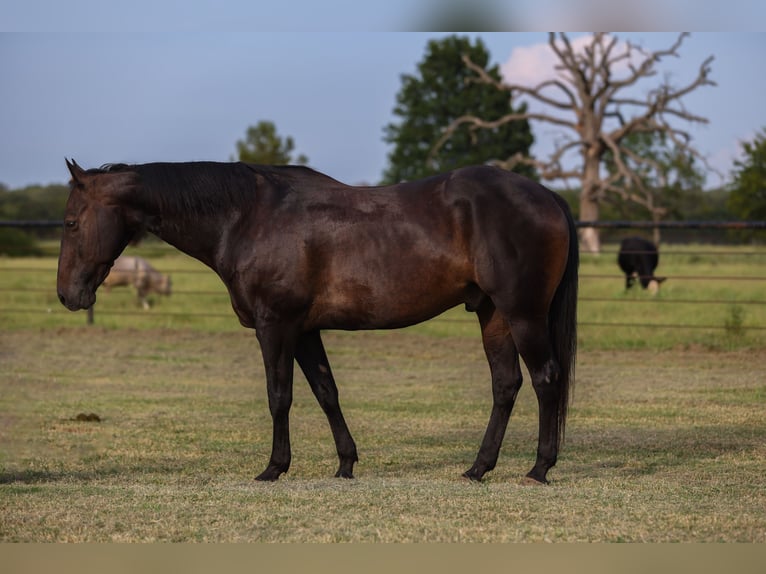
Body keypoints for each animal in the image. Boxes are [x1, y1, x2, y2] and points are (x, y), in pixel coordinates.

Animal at [57, 159, 578, 485]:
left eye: (71, 223)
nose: (67, 295)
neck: (246, 217)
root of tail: (547, 194)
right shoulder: (305, 330)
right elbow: (327, 392)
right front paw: (346, 464)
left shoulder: (275, 326)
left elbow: (279, 396)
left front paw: (274, 467)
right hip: (492, 314)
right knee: (506, 385)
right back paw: (478, 468)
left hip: (523, 314)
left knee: (546, 378)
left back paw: (539, 468)